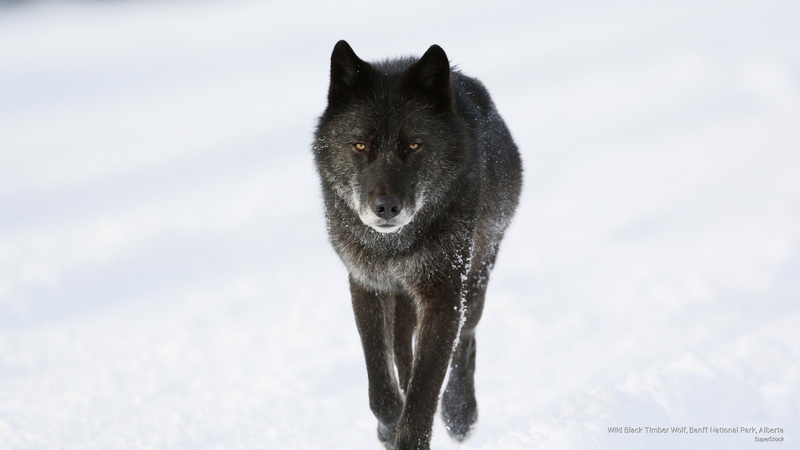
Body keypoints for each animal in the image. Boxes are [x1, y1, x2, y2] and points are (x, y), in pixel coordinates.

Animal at [312, 40, 522, 449]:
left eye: (413, 145)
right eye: (359, 144)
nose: (386, 207)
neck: (393, 247)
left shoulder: (443, 293)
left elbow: (425, 386)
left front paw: (413, 431)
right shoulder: (368, 284)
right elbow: (381, 380)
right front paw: (389, 425)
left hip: (475, 279)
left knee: (465, 340)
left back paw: (460, 413)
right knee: (402, 348)